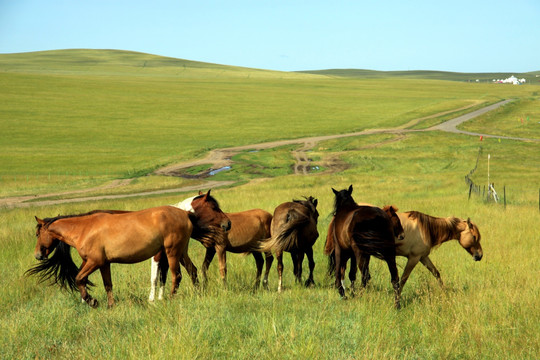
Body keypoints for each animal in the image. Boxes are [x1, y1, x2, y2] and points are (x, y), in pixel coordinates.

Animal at [26, 190, 229, 308]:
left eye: (37, 234)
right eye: (213, 207)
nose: (38, 255)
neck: (84, 228)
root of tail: (185, 214)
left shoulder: (94, 262)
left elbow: (78, 278)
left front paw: (92, 301)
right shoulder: (103, 263)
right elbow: (107, 284)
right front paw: (109, 305)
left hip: (172, 252)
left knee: (176, 275)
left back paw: (171, 299)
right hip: (180, 252)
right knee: (192, 271)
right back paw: (198, 293)